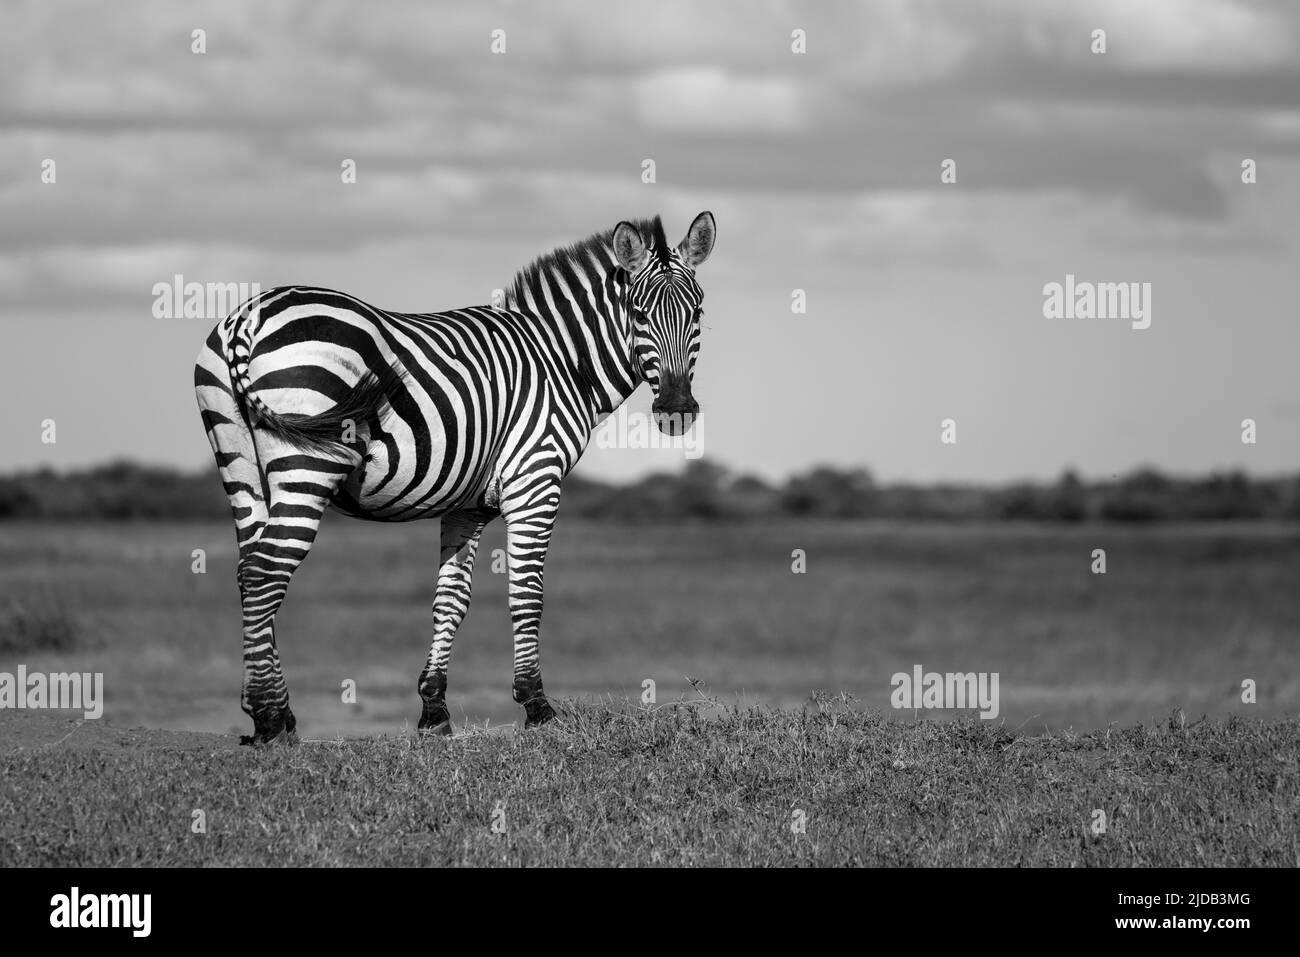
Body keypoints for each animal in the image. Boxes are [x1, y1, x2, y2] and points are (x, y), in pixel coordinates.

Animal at [197, 213, 717, 743]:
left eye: (697, 313)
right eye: (638, 314)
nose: (677, 410)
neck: (560, 361)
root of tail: (247, 318)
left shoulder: (468, 503)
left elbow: (451, 598)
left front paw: (434, 711)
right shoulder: (535, 479)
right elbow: (527, 594)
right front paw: (537, 707)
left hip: (238, 460)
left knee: (249, 571)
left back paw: (273, 710)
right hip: (306, 462)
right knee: (267, 571)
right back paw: (270, 717)